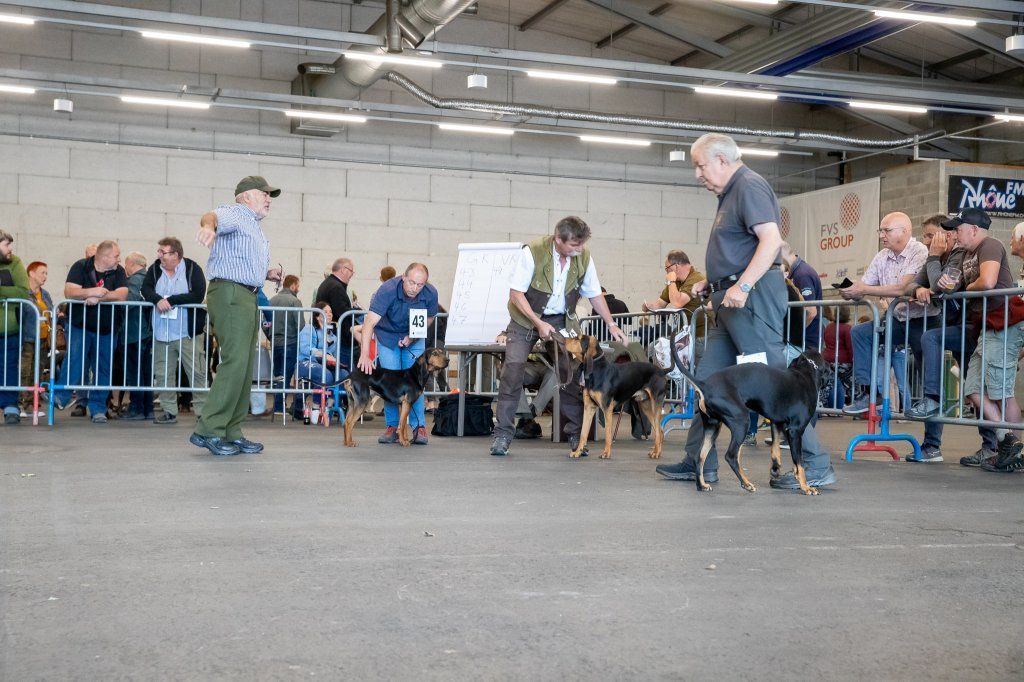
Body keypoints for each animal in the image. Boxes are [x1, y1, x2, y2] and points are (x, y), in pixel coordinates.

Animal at [679, 350, 823, 493]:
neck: (803, 373)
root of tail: (705, 385)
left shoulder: (777, 423)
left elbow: (775, 450)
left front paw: (776, 469)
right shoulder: (795, 431)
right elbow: (799, 462)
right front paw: (805, 486)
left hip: (713, 427)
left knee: (700, 457)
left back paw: (702, 485)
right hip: (741, 422)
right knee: (731, 456)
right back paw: (746, 483)